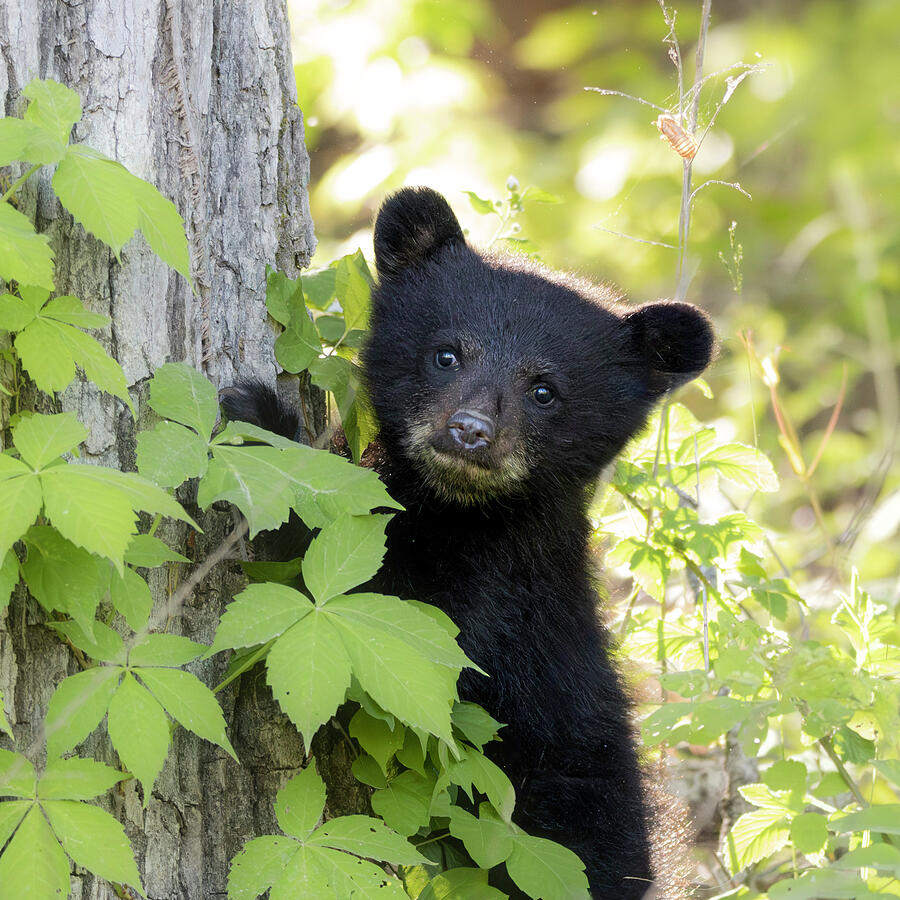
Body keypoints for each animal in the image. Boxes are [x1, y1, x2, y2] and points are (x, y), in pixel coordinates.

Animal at [223, 186, 714, 898]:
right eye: (447, 353)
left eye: (545, 390)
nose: (470, 430)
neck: (457, 512)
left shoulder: (503, 601)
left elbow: (400, 619)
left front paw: (267, 429)